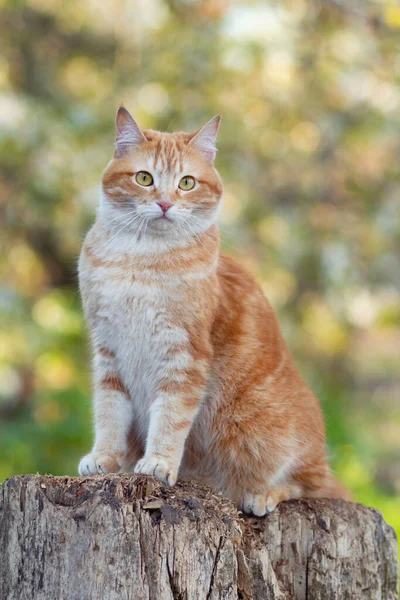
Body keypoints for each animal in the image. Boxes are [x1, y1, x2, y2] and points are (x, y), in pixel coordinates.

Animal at [78, 105, 350, 512]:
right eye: (144, 178)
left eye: (187, 183)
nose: (164, 203)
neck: (139, 259)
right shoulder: (109, 350)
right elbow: (110, 412)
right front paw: (106, 458)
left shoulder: (184, 354)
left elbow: (171, 416)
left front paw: (158, 462)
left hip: (264, 435)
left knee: (311, 484)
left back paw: (264, 494)